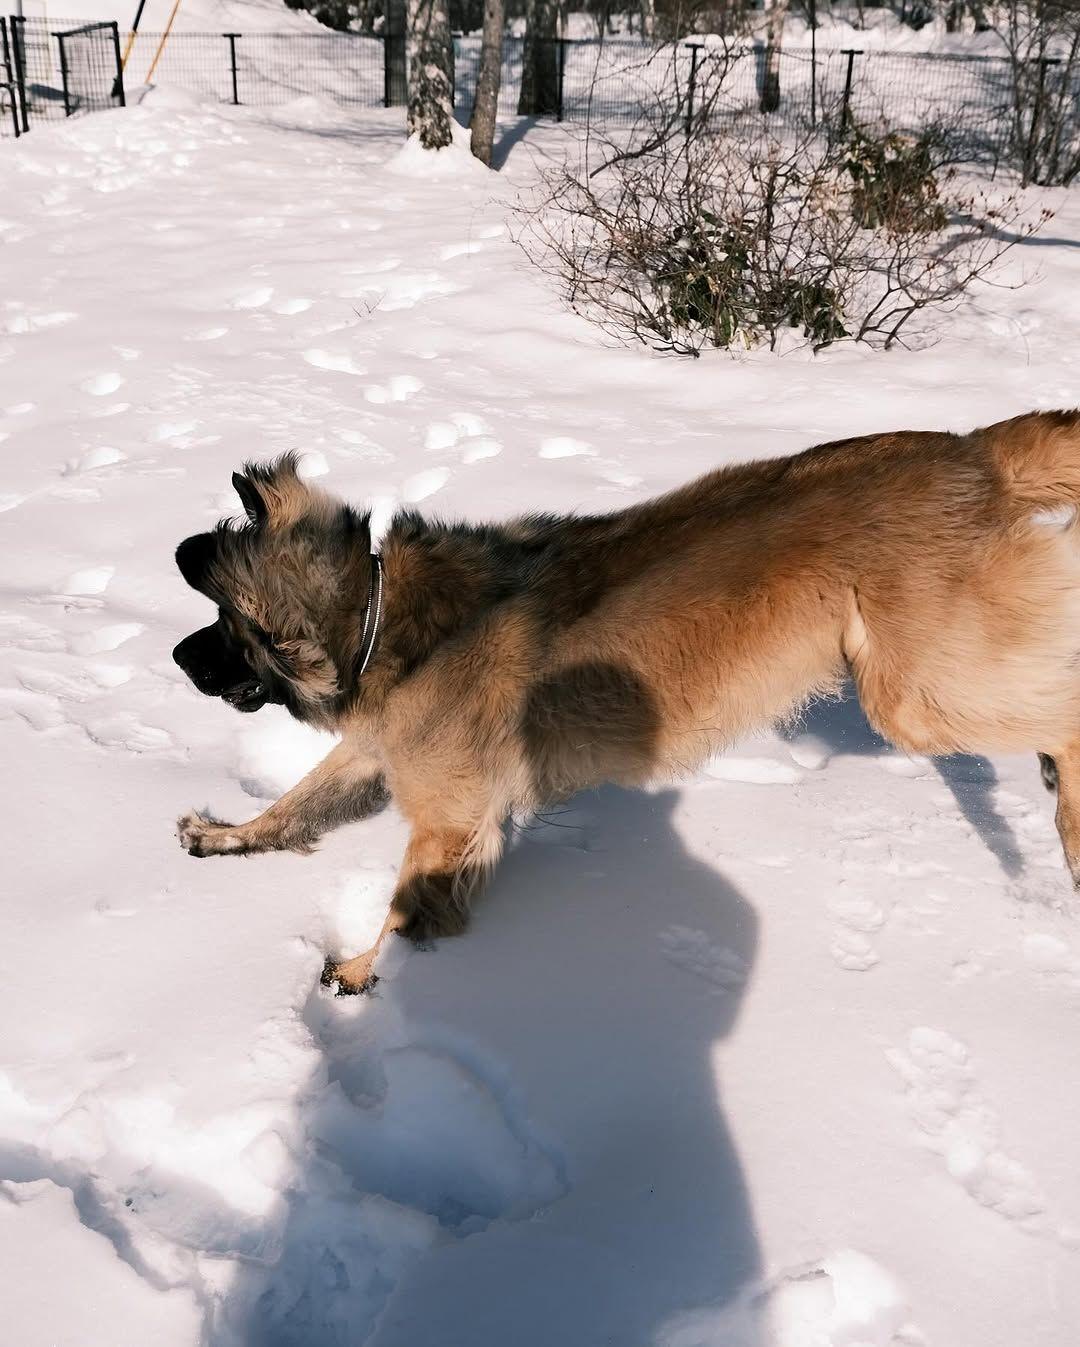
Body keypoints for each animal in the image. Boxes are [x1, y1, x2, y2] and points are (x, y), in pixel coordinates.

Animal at [172, 409, 1077, 991]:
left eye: (223, 626)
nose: (177, 657)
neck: (378, 612)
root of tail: (971, 452)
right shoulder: (378, 751)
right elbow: (295, 802)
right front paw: (227, 837)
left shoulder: (450, 817)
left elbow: (402, 907)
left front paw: (365, 973)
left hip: (915, 692)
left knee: (1061, 706)